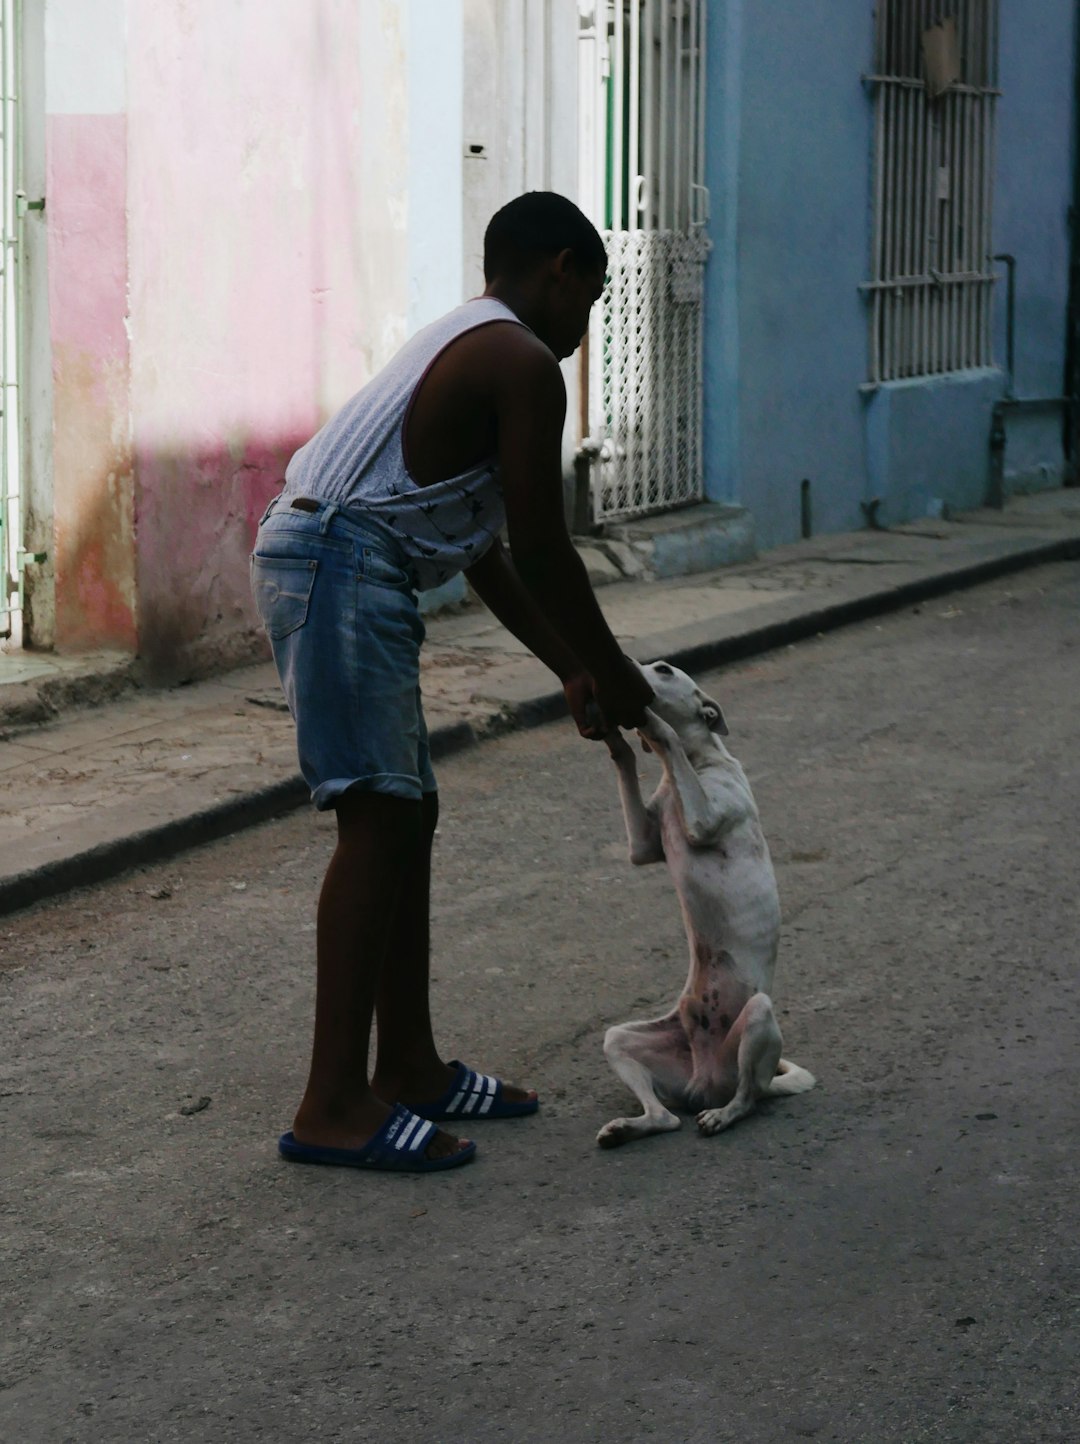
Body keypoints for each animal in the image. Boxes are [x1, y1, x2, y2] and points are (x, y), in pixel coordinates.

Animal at [594, 661, 814, 1143]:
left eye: (662, 669)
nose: (628, 665)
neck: (698, 763)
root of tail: (704, 1083)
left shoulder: (705, 818)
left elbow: (668, 737)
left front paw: (650, 722)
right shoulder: (642, 844)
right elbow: (628, 766)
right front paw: (616, 737)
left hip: (756, 1018)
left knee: (748, 1098)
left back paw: (724, 1115)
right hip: (624, 1040)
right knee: (664, 1115)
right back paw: (631, 1127)